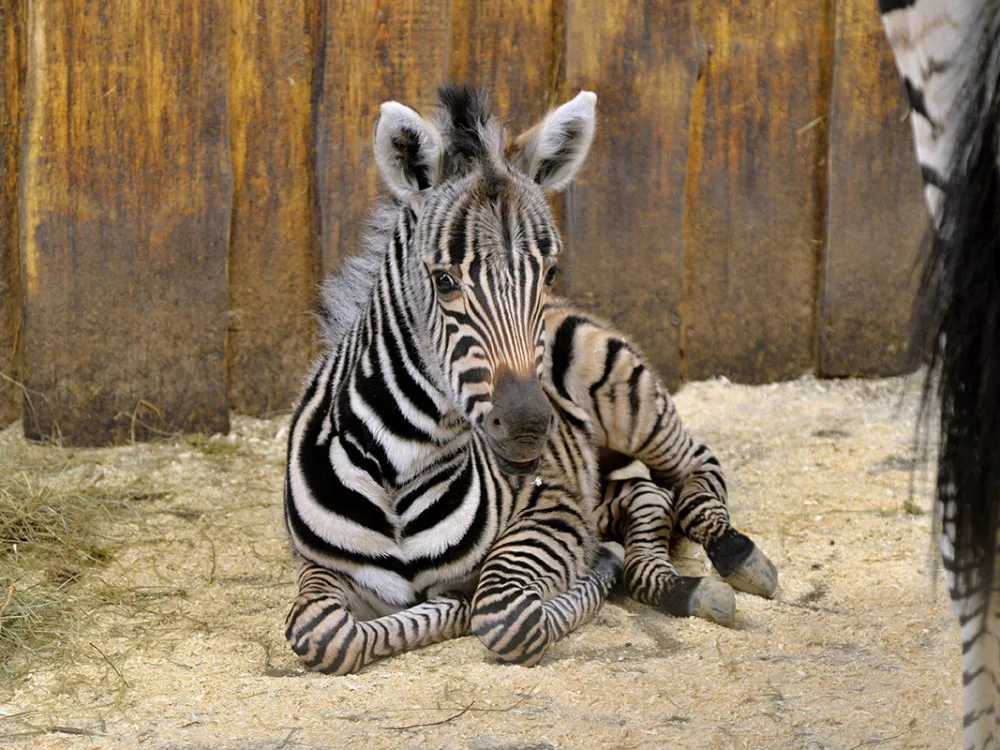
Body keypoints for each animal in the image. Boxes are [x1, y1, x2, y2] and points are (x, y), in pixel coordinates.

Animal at [283, 85, 778, 675]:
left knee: (694, 466)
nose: (528, 428)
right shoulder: (317, 565)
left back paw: (733, 555)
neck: (400, 463)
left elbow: (507, 615)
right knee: (645, 496)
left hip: (626, 398)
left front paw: (574, 576)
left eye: (549, 273)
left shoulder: (552, 510)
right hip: (597, 474)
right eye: (444, 281)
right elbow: (320, 630)